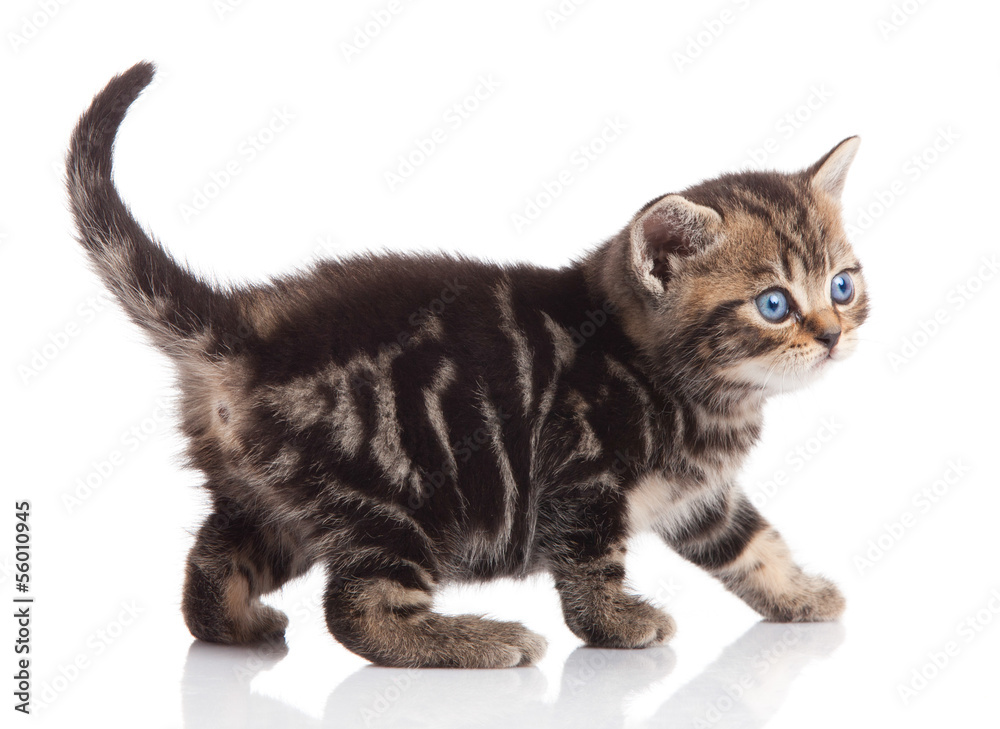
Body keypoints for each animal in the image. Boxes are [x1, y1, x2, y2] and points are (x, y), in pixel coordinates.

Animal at [68, 62, 868, 664]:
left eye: (842, 285)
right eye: (773, 303)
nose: (832, 335)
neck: (699, 389)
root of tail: (246, 331)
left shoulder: (703, 495)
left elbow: (751, 542)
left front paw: (801, 594)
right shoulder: (581, 475)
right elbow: (590, 564)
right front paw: (618, 625)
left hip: (272, 500)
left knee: (210, 565)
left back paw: (236, 624)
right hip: (396, 497)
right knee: (358, 609)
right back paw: (477, 640)